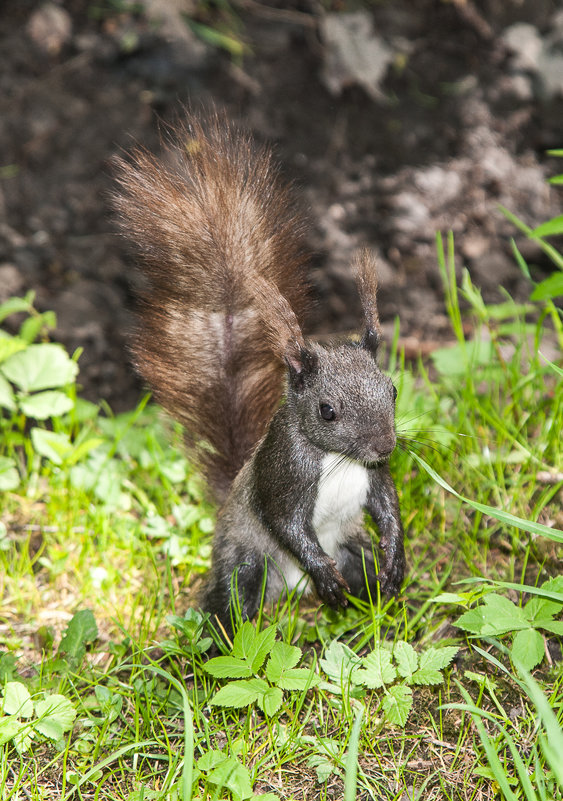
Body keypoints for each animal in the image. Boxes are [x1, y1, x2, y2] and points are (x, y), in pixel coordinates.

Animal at [114, 115, 406, 636]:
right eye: (327, 411)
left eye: (391, 390)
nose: (383, 447)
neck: (337, 459)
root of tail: (289, 592)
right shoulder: (281, 472)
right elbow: (286, 521)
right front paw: (323, 572)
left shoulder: (374, 479)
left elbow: (388, 506)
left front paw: (397, 557)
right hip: (244, 563)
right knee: (231, 606)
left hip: (353, 555)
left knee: (364, 578)